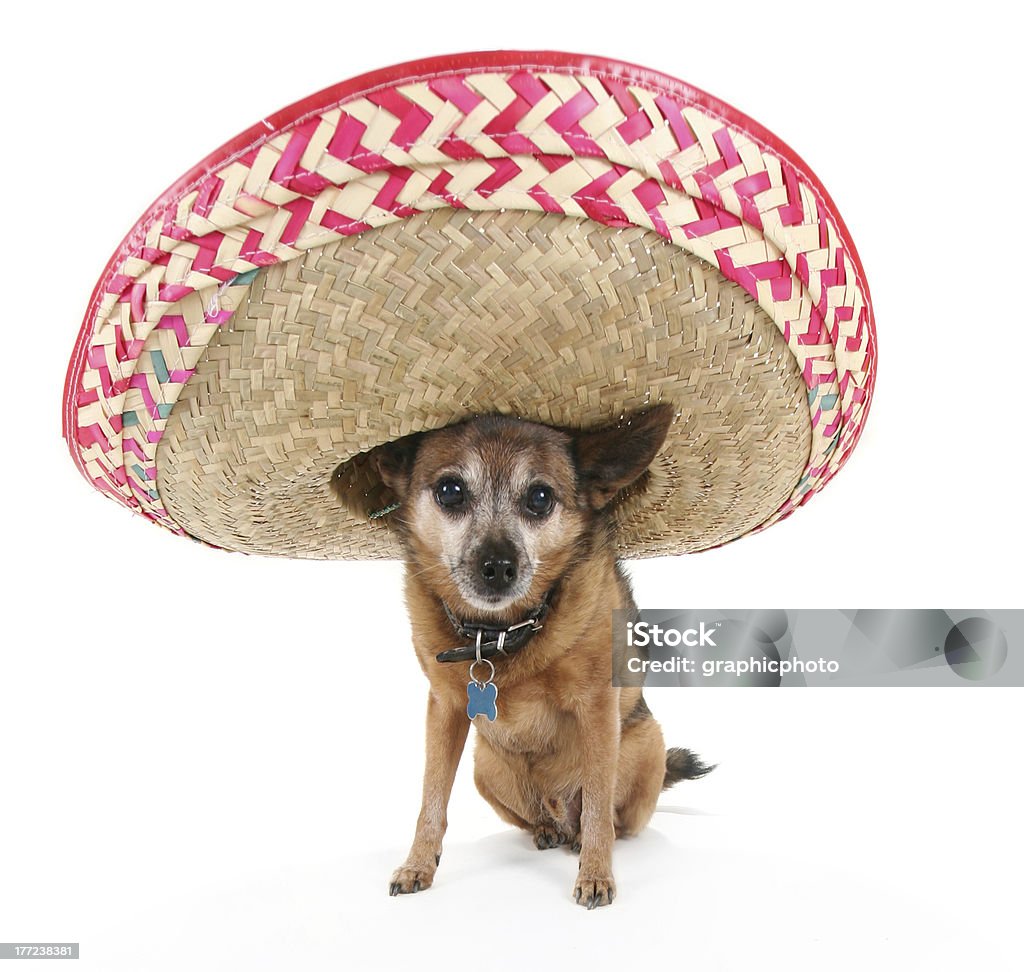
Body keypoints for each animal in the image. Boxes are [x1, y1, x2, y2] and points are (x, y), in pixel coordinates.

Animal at [370, 405, 712, 905]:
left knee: (607, 817)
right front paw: (418, 864)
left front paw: (596, 873)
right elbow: (431, 798)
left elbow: (597, 803)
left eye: (540, 497)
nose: (498, 566)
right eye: (451, 491)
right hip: (485, 767)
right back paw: (548, 830)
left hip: (648, 743)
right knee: (539, 818)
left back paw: (584, 839)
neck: (498, 635)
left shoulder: (597, 708)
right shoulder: (444, 711)